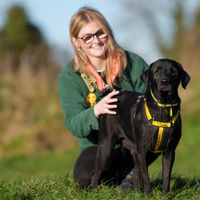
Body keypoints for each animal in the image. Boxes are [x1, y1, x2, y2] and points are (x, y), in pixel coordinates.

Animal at [90, 58, 191, 194]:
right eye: (157, 71)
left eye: (174, 72)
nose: (165, 81)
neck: (163, 107)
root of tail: (112, 97)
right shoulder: (142, 149)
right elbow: (145, 176)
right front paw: (148, 193)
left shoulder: (169, 151)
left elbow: (166, 176)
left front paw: (165, 194)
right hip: (106, 145)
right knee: (96, 171)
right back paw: (94, 190)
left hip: (133, 149)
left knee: (136, 173)